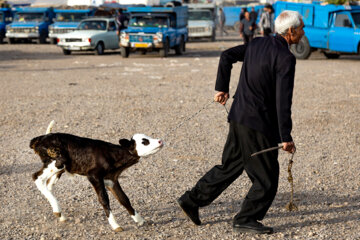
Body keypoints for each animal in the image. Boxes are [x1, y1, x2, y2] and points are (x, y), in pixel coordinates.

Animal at [30, 122, 164, 232]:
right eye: (144, 142)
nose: (160, 141)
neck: (112, 156)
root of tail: (40, 138)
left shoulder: (111, 179)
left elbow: (124, 199)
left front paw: (140, 220)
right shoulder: (94, 176)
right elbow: (104, 199)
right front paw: (116, 225)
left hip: (61, 168)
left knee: (48, 184)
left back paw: (60, 214)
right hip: (56, 162)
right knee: (37, 177)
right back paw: (57, 210)